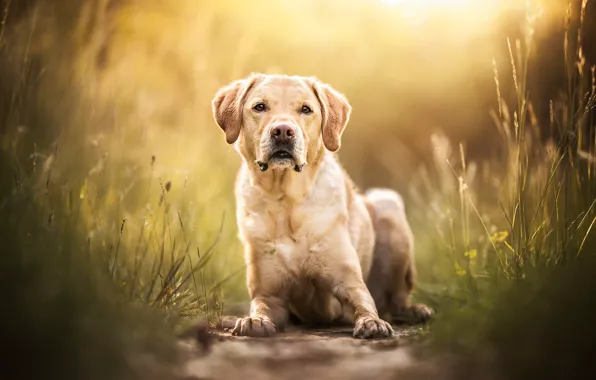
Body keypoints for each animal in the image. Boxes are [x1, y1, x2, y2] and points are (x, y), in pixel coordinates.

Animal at [211, 74, 434, 338]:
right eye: (260, 107)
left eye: (306, 109)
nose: (283, 131)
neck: (287, 201)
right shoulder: (270, 293)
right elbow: (261, 306)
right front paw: (254, 320)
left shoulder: (349, 282)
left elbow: (364, 304)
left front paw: (372, 323)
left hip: (388, 206)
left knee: (396, 300)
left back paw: (416, 311)